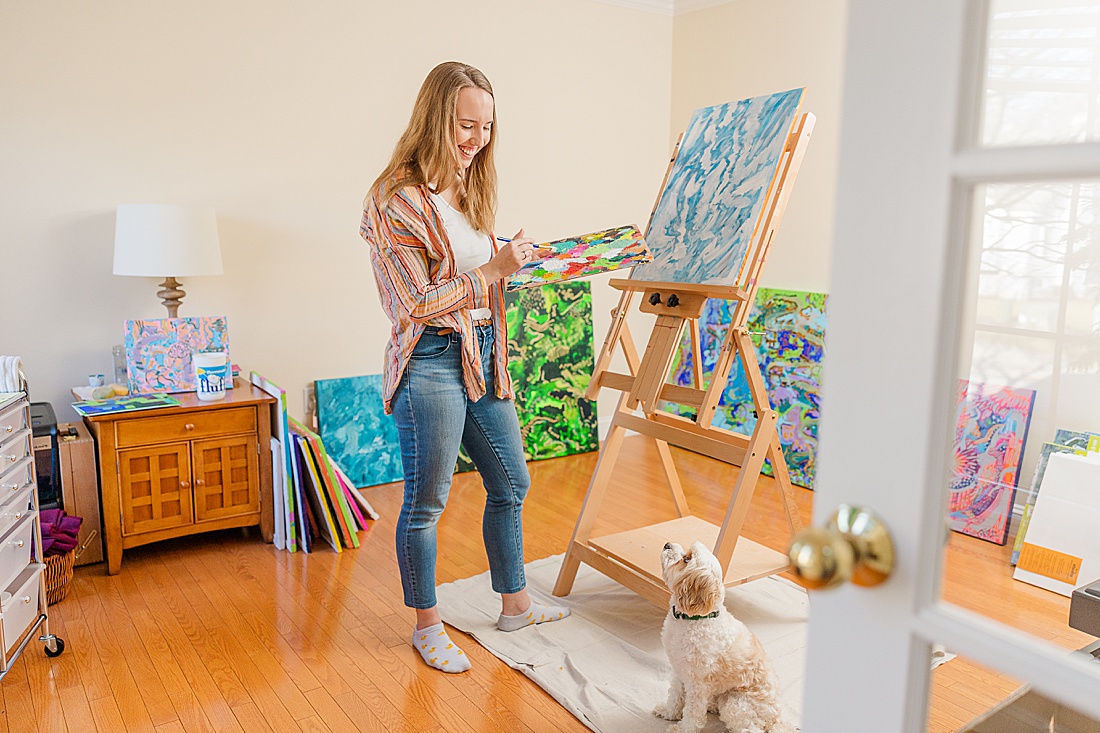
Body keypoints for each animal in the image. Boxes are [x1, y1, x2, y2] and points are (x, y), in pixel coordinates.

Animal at [651, 537, 792, 730]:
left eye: (687, 559)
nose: (667, 544)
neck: (696, 618)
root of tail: (776, 719)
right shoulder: (679, 671)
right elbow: (675, 696)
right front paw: (668, 713)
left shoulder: (697, 684)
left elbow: (692, 713)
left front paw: (682, 729)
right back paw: (711, 705)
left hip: (735, 703)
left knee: (749, 728)